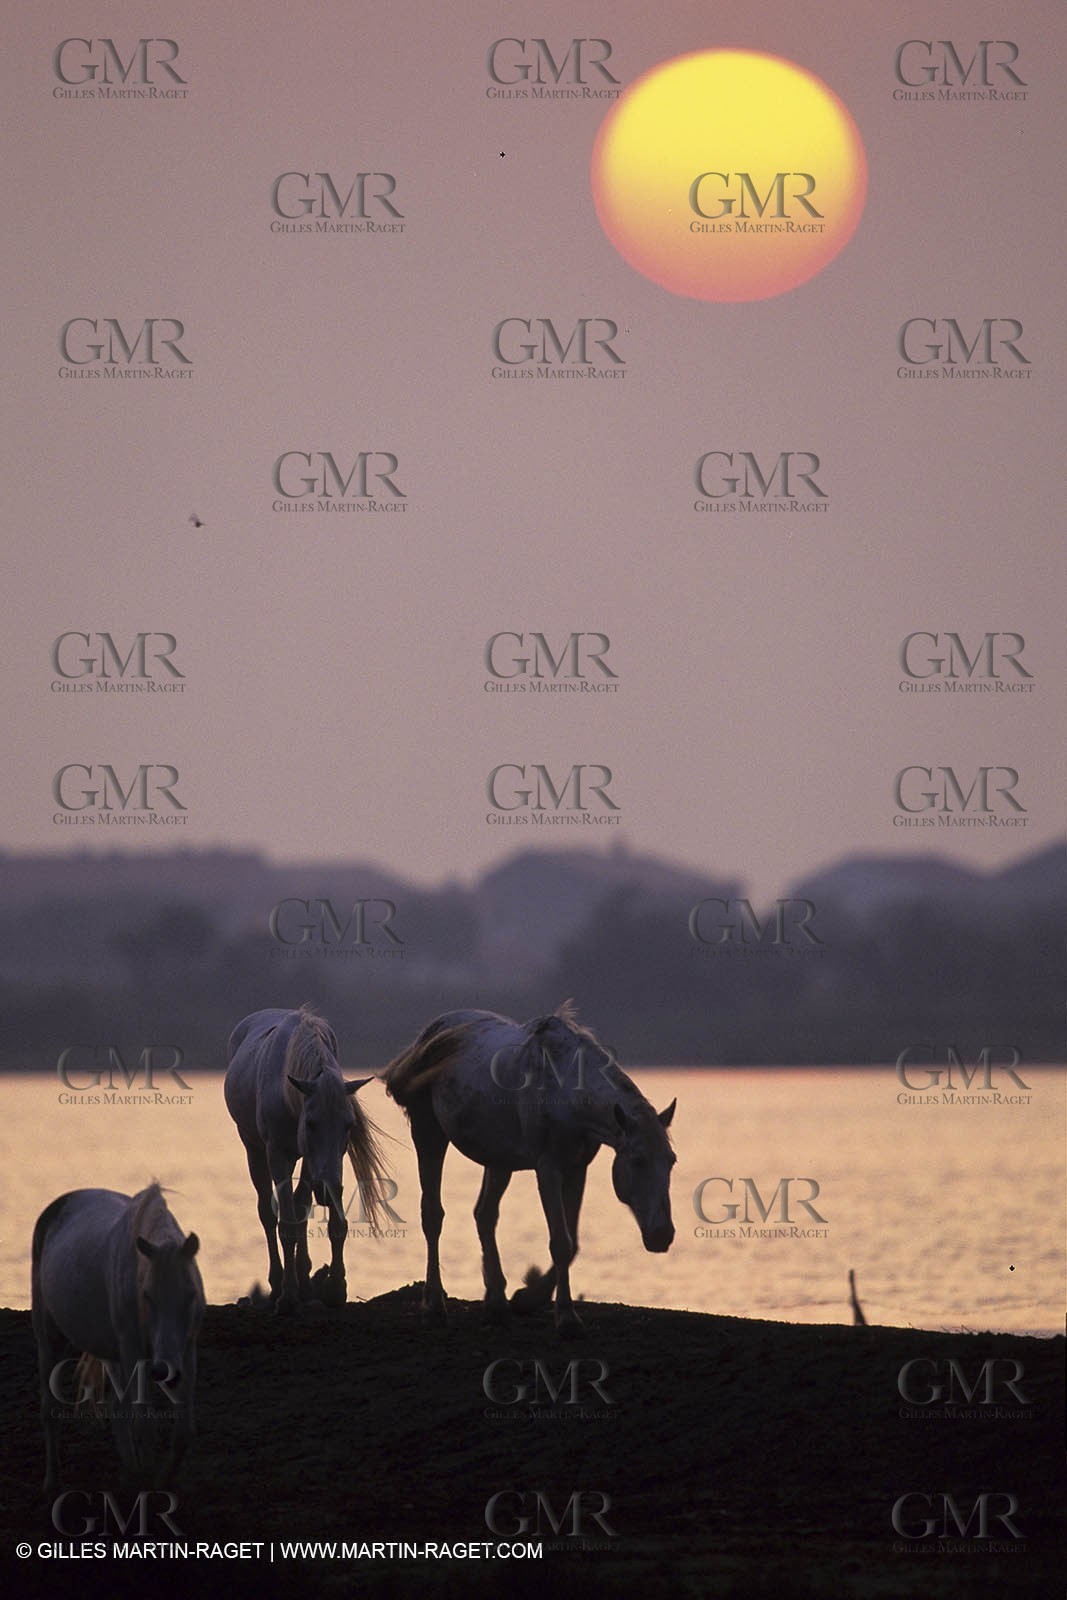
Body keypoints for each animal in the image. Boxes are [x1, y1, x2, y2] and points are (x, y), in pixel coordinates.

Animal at [31, 1182, 204, 1493]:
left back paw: (129, 1474)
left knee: (116, 1407)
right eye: (147, 1296)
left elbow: (183, 1431)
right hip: (48, 1339)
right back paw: (51, 1481)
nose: (164, 1371)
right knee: (50, 1410)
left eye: (191, 1295)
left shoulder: (186, 1351)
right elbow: (144, 1425)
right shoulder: (133, 1350)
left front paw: (162, 1479)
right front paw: (150, 1481)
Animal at [225, 1005, 391, 1313]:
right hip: (253, 1148)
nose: (326, 1190)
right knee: (267, 1213)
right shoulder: (278, 1154)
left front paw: (335, 1288)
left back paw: (304, 1282)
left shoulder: (319, 1162)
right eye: (312, 1123)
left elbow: (327, 1221)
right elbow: (286, 1224)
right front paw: (288, 1296)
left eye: (348, 1125)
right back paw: (278, 1284)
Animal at [384, 1002, 676, 1337]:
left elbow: (571, 1243)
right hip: (428, 1132)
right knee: (433, 1216)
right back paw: (434, 1307)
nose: (662, 1235)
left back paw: (497, 1304)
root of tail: (428, 1036)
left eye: (671, 1160)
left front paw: (529, 1298)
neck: (566, 1088)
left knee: (485, 1216)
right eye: (638, 1160)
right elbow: (560, 1242)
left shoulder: (577, 1168)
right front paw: (566, 1317)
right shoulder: (547, 1168)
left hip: (498, 1160)